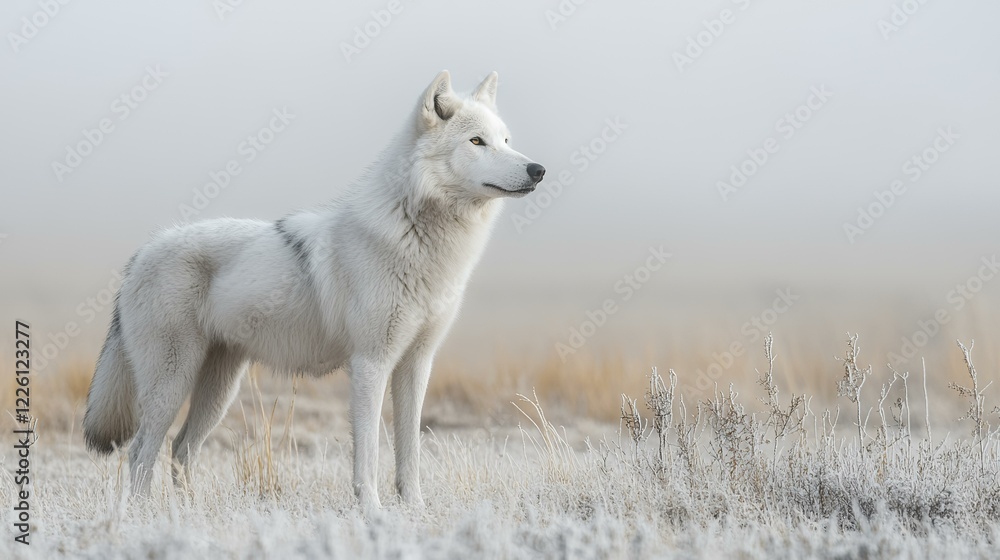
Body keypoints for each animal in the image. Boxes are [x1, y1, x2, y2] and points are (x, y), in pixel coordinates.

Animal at [82, 71, 545, 511]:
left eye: (506, 141)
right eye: (477, 141)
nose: (537, 170)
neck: (420, 237)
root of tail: (141, 252)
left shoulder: (415, 364)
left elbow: (410, 452)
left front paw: (415, 509)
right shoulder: (370, 363)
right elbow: (369, 455)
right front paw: (372, 511)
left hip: (218, 391)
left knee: (180, 449)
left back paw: (192, 514)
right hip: (173, 383)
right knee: (141, 452)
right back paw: (145, 517)